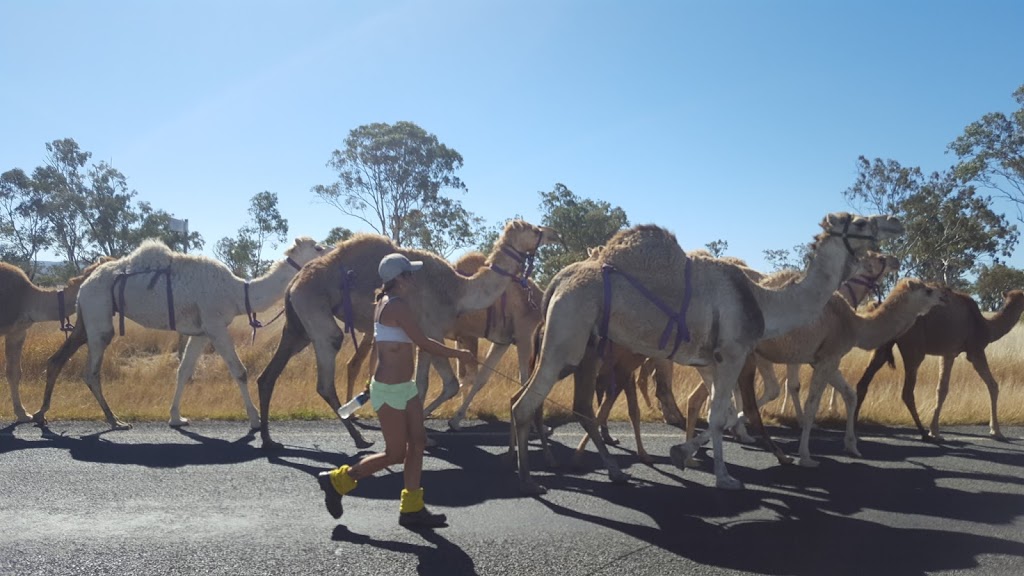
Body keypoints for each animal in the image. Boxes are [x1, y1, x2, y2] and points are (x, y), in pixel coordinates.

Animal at [30, 235, 323, 428]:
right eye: (318, 247)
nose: (330, 249)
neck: (239, 293)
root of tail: (83, 285)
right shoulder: (215, 326)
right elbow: (239, 371)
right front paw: (255, 420)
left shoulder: (201, 332)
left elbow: (183, 371)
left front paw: (176, 418)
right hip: (98, 314)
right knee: (90, 371)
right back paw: (115, 421)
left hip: (86, 318)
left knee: (57, 359)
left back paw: (41, 413)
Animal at [254, 218, 561, 448]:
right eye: (534, 229)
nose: (553, 232)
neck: (458, 290)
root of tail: (294, 282)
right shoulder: (433, 331)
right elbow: (450, 384)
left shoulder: (425, 338)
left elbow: (425, 384)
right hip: (316, 313)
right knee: (325, 378)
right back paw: (358, 437)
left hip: (298, 327)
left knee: (268, 375)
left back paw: (269, 439)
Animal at [507, 213, 901, 491]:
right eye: (860, 221)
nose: (894, 222)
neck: (762, 302)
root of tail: (559, 280)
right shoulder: (733, 354)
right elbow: (716, 416)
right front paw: (725, 478)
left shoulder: (711, 362)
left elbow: (719, 414)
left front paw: (685, 454)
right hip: (567, 341)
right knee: (525, 403)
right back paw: (529, 479)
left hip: (578, 346)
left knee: (543, 402)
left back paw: (594, 470)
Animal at [847, 284, 1024, 438]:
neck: (987, 327)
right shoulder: (975, 351)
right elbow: (993, 385)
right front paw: (996, 431)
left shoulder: (948, 353)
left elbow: (941, 389)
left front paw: (935, 430)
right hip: (914, 347)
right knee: (907, 392)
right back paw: (923, 433)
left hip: (883, 344)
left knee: (863, 383)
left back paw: (854, 428)